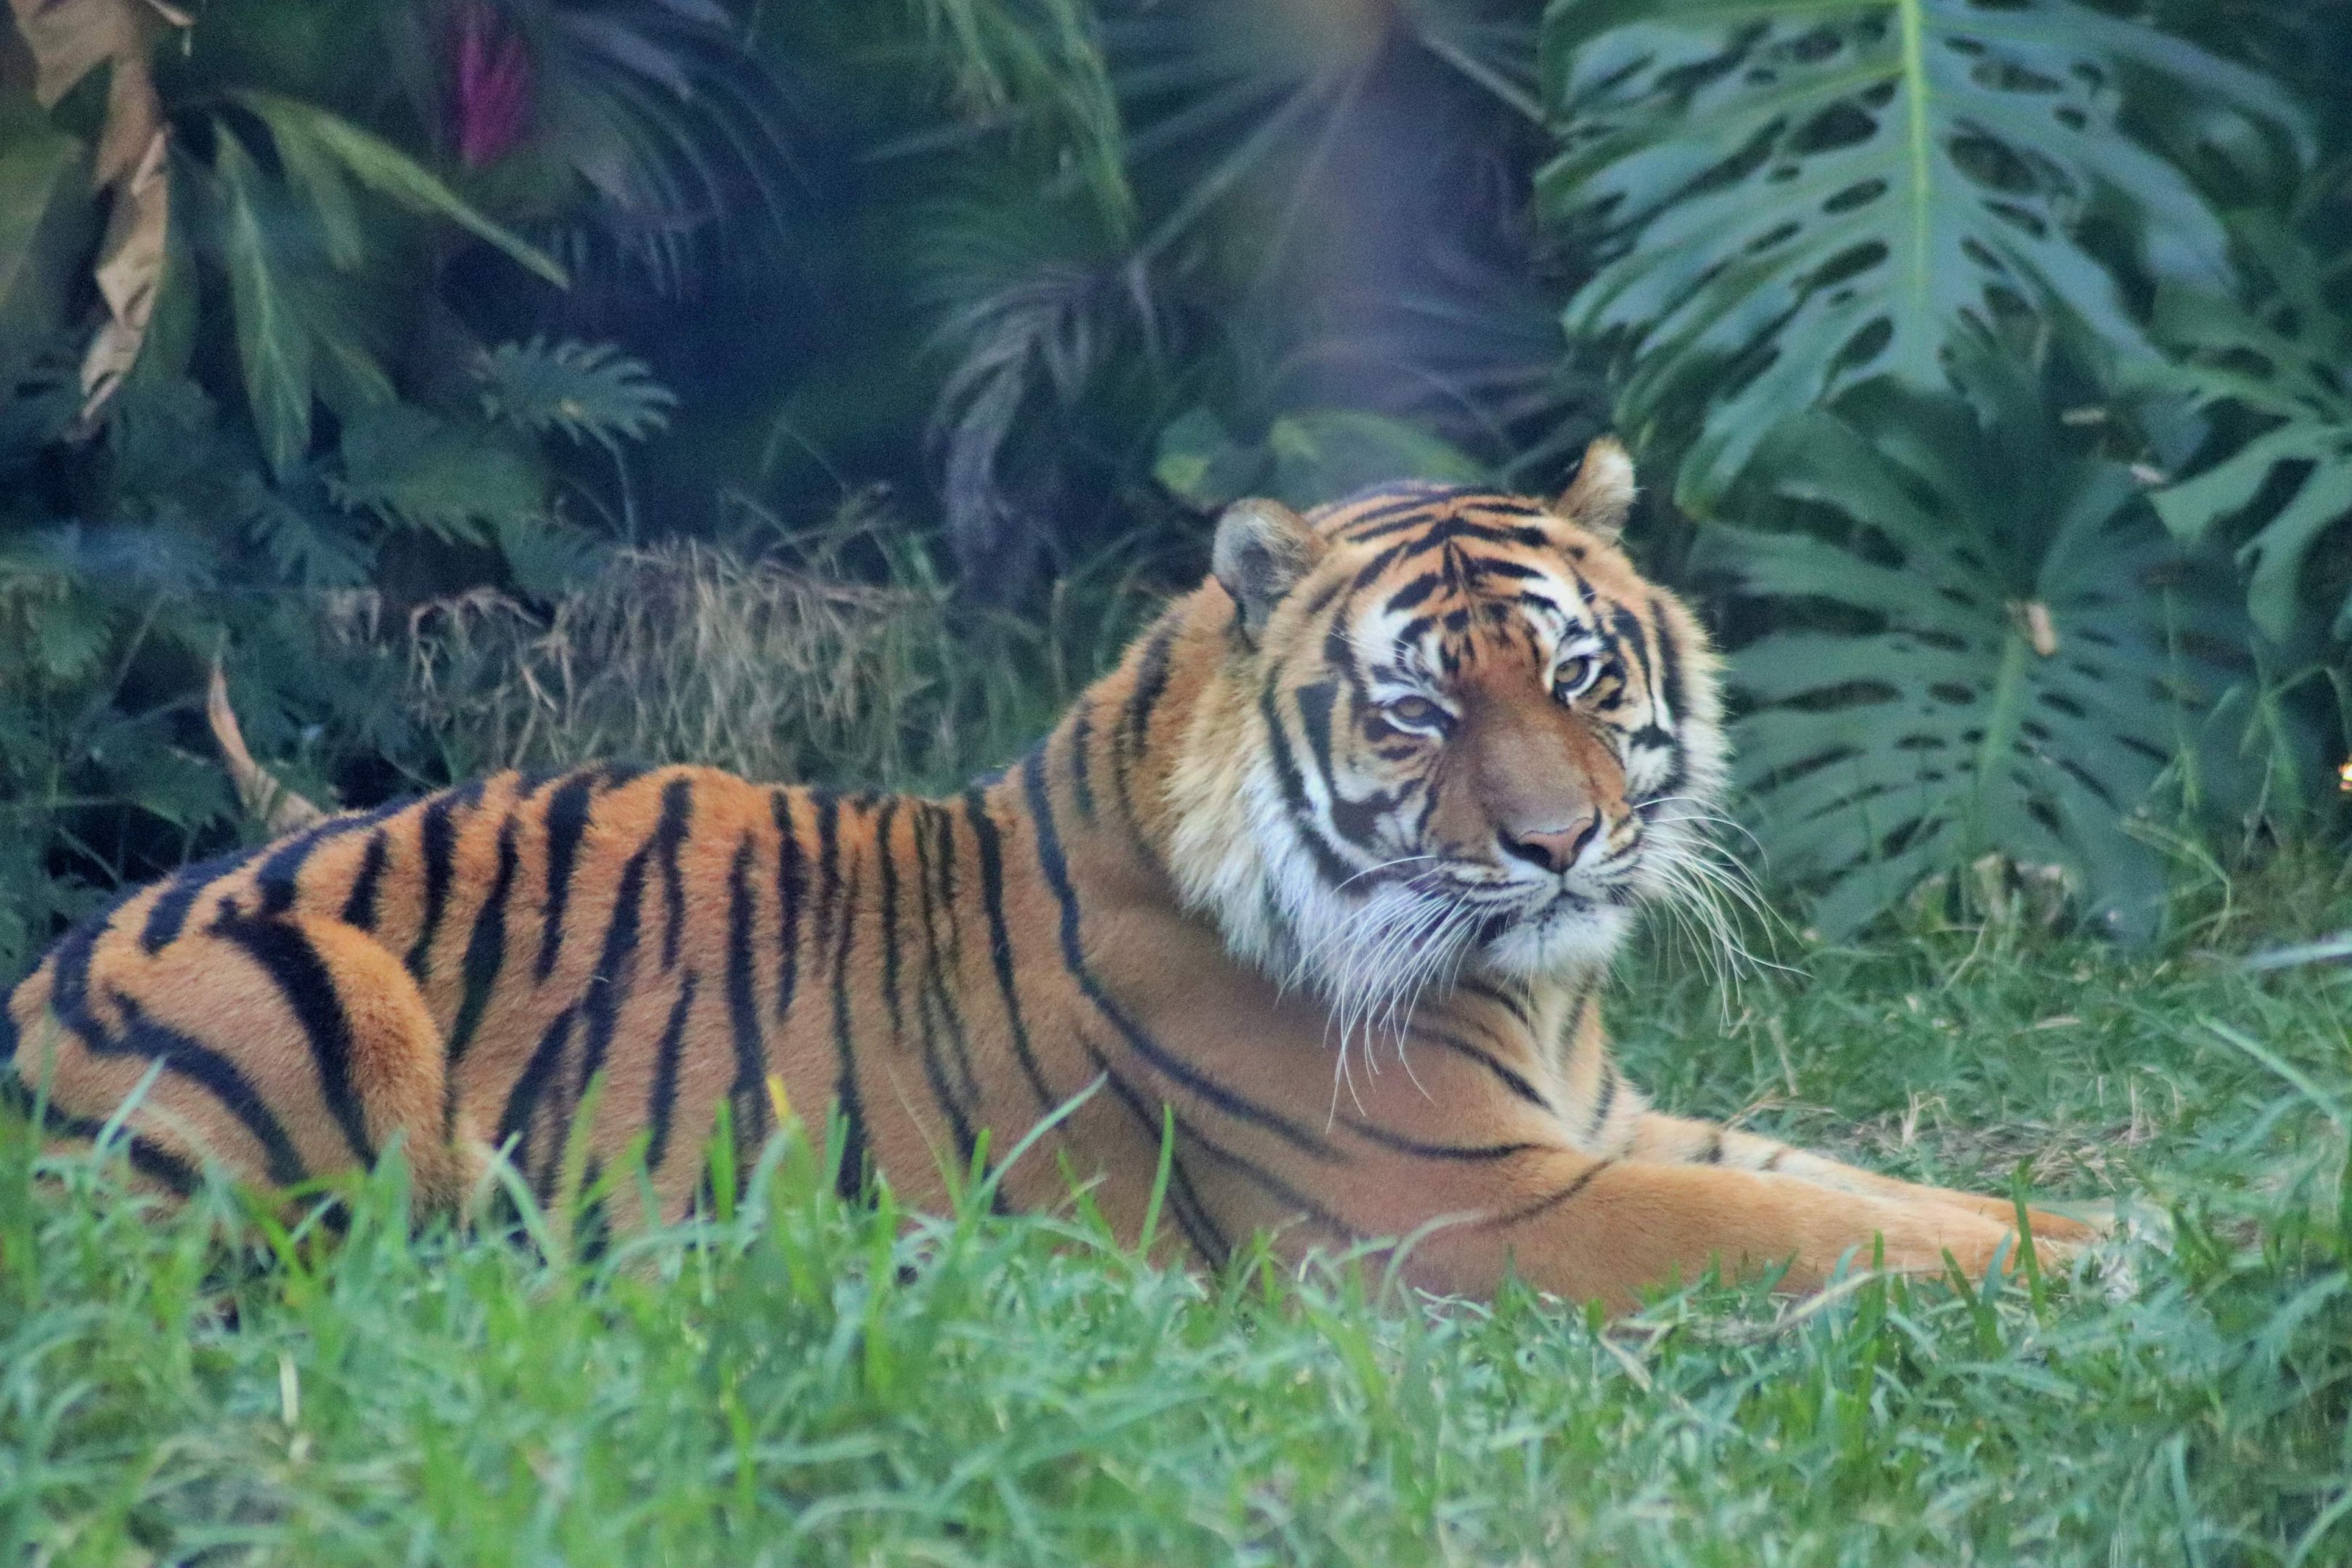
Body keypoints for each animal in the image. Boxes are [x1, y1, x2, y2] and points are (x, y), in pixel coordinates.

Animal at [1, 439, 2095, 1306]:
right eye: (1421, 713)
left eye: (1580, 678)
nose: (1558, 841)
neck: (1537, 997)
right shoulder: (1481, 1216)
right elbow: (1801, 1235)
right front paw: (2108, 1272)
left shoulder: (1612, 1126)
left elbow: (1865, 1187)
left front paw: (2109, 1227)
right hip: (309, 1006)